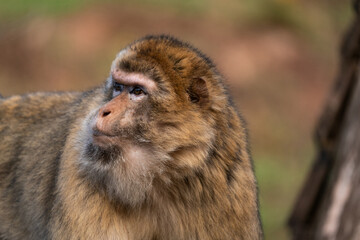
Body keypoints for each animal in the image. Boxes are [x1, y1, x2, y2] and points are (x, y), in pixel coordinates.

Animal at [0, 34, 262, 239]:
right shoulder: (79, 171)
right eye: (117, 87)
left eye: (137, 91)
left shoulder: (229, 183)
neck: (160, 178)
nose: (103, 110)